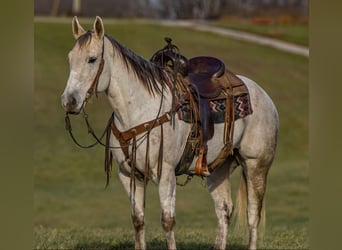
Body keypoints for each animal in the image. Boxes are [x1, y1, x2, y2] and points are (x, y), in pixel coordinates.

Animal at [60, 16, 278, 249]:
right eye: (70, 58)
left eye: (92, 59)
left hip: (256, 165)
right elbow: (138, 220)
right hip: (218, 169)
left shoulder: (165, 173)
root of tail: (264, 96)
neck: (140, 109)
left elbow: (168, 221)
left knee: (253, 215)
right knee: (224, 210)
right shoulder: (129, 174)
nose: (69, 101)